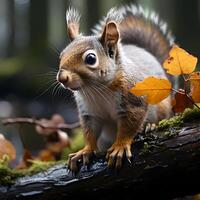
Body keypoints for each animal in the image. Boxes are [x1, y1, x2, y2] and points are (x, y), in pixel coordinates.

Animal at [56, 4, 175, 170]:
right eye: (61, 55)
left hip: (162, 104)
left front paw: (119, 147)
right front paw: (85, 151)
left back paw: (150, 125)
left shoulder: (133, 101)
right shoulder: (89, 112)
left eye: (91, 58)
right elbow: (90, 132)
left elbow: (128, 127)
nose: (62, 78)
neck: (97, 90)